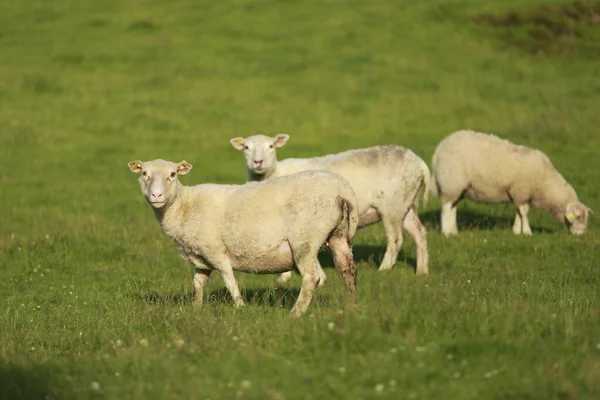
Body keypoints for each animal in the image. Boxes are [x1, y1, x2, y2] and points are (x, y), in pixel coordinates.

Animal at [128, 158, 358, 318]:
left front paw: (240, 307)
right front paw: (196, 310)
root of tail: (343, 190)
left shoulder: (216, 251)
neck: (184, 206)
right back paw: (350, 307)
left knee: (311, 278)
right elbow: (198, 285)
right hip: (340, 235)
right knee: (349, 271)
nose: (156, 196)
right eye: (145, 173)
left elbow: (230, 281)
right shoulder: (201, 258)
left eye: (173, 174)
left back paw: (295, 314)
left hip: (305, 240)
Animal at [230, 134, 432, 282]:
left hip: (392, 205)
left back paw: (383, 270)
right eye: (246, 148)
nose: (258, 162)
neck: (273, 173)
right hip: (407, 202)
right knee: (420, 233)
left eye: (271, 146)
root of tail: (420, 164)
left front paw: (288, 277)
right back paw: (422, 271)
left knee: (396, 239)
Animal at [432, 130, 592, 236]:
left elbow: (519, 212)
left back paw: (453, 231)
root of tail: (438, 150)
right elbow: (524, 212)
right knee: (446, 208)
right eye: (578, 217)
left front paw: (516, 231)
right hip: (452, 182)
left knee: (452, 207)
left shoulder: (519, 194)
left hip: (457, 187)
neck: (545, 184)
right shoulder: (521, 190)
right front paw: (527, 232)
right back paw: (446, 232)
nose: (582, 234)